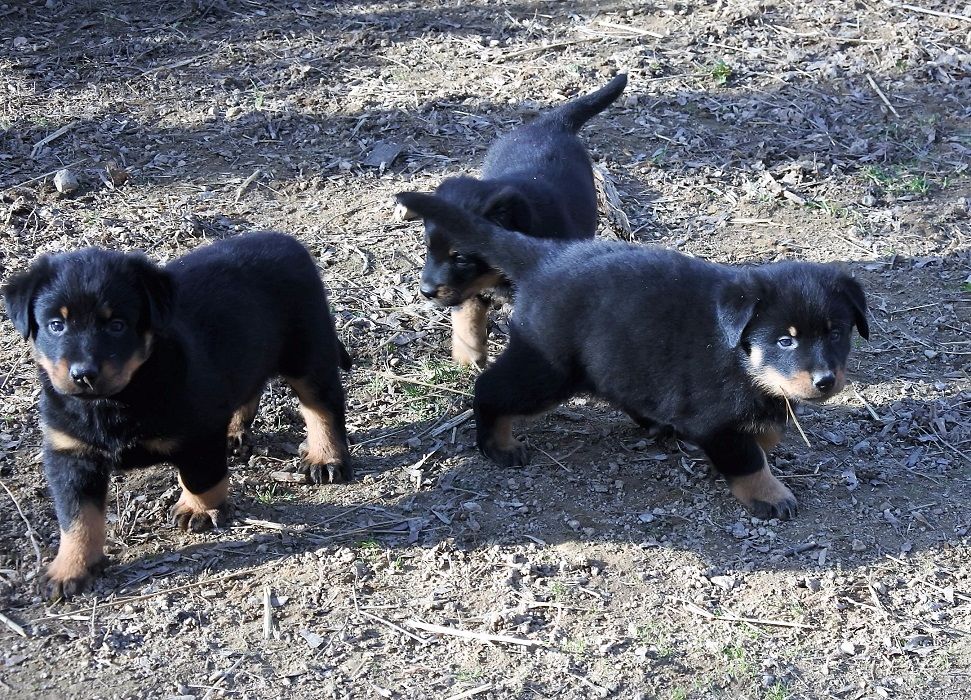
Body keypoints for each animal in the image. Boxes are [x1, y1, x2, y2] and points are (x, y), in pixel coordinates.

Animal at [2, 232, 354, 600]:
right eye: (56, 325)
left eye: (117, 326)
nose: (84, 374)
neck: (117, 399)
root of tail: (287, 241)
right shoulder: (70, 453)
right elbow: (77, 517)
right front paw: (70, 568)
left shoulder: (199, 433)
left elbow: (201, 477)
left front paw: (198, 509)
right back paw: (235, 433)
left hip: (308, 352)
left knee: (322, 406)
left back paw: (325, 458)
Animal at [396, 191, 872, 520]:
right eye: (785, 341)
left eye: (836, 334)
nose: (826, 380)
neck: (738, 352)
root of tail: (546, 257)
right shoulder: (714, 417)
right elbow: (747, 458)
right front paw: (770, 495)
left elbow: (768, 427)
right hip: (547, 370)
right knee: (491, 389)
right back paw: (497, 445)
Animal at [400, 72, 632, 366]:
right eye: (427, 248)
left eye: (461, 258)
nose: (426, 291)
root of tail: (550, 125)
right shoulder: (468, 289)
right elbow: (467, 313)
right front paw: (468, 354)